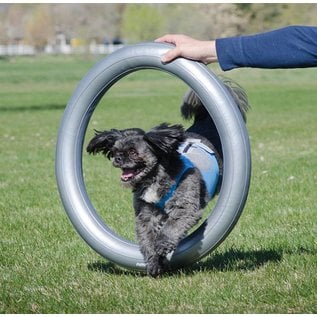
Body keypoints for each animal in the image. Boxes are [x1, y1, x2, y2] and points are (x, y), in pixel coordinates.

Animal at [86, 78, 249, 276]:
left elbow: (171, 227)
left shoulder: (185, 208)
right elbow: (147, 238)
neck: (155, 178)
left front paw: (162, 245)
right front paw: (153, 261)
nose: (117, 158)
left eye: (132, 152)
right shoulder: (146, 214)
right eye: (116, 150)